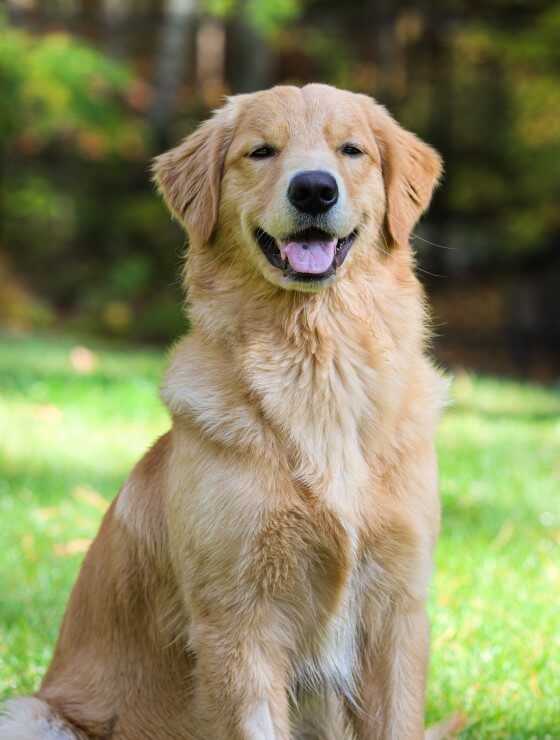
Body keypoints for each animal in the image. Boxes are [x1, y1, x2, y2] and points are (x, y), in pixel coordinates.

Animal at [0, 84, 460, 736]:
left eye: (352, 150)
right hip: (31, 714)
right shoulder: (239, 623)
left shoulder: (398, 611)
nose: (314, 189)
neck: (316, 364)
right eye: (260, 151)